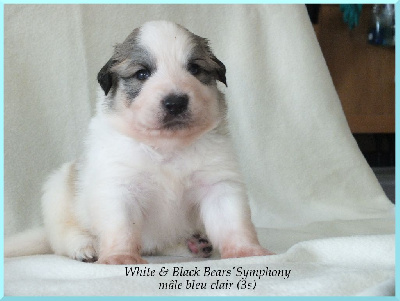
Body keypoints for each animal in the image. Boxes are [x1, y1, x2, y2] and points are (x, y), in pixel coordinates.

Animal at [6, 20, 274, 262]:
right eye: (142, 74)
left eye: (195, 69)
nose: (175, 102)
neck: (168, 148)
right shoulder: (119, 187)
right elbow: (121, 228)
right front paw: (120, 257)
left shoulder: (218, 184)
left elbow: (233, 222)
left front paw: (246, 252)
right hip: (59, 196)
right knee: (63, 237)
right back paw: (86, 247)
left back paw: (194, 244)